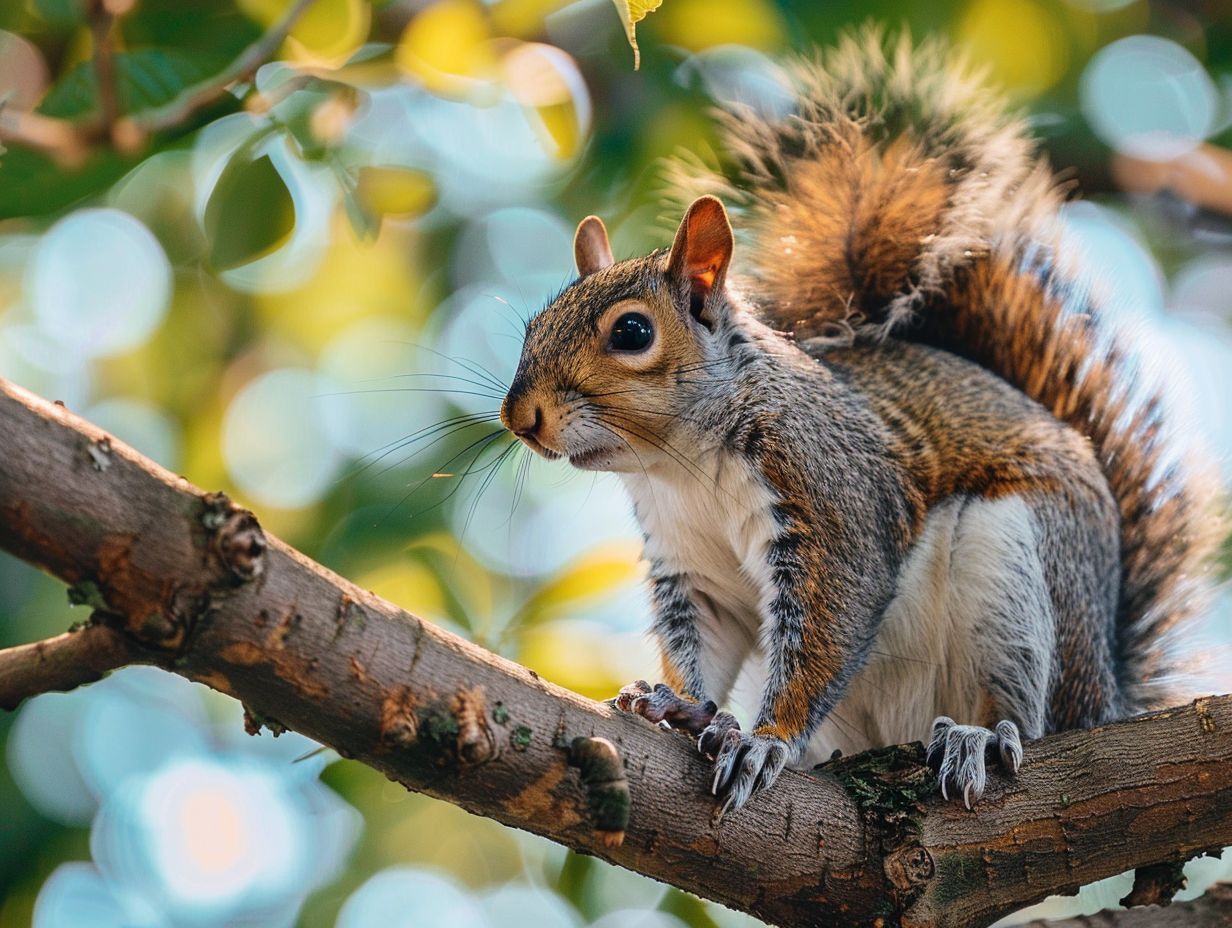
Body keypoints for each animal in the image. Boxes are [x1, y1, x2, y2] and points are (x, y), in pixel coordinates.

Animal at [492, 30, 1222, 808]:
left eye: (631, 333)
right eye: (533, 325)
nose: (519, 416)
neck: (682, 463)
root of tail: (1108, 693)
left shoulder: (833, 503)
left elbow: (830, 625)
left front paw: (764, 740)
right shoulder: (693, 568)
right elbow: (705, 640)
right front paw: (681, 704)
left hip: (1019, 572)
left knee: (1033, 711)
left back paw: (980, 736)